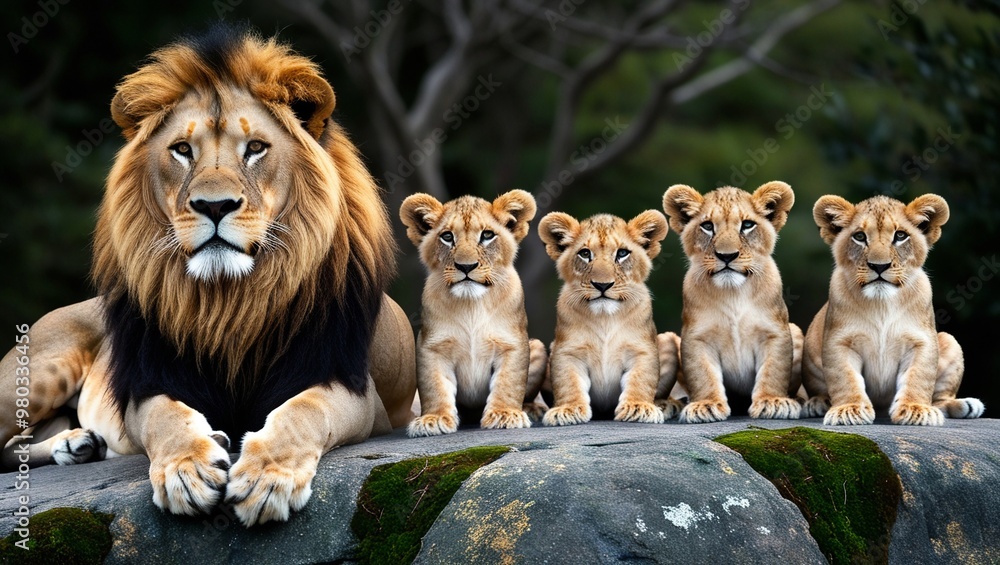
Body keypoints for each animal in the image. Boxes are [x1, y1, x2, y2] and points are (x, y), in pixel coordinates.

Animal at [0, 24, 414, 528]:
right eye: (182, 150)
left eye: (255, 148)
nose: (214, 206)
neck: (229, 301)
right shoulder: (149, 384)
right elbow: (166, 418)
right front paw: (187, 471)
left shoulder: (352, 387)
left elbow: (304, 410)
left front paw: (266, 478)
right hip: (37, 371)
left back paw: (76, 445)